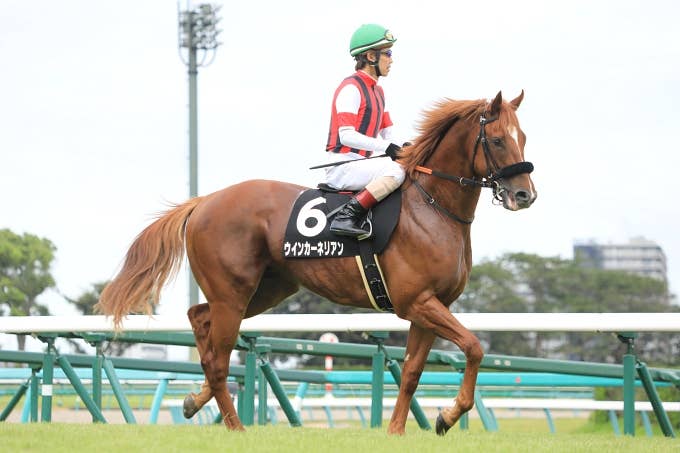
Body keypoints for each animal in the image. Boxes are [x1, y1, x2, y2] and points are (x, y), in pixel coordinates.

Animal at [96, 90, 536, 435]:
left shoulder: (429, 307)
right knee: (217, 360)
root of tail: (205, 201)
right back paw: (237, 428)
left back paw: (194, 400)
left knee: (200, 321)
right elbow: (474, 347)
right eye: (498, 140)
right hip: (233, 295)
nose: (524, 195)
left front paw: (399, 430)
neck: (432, 207)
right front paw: (447, 415)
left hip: (262, 291)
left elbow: (412, 371)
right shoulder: (418, 302)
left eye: (524, 138)